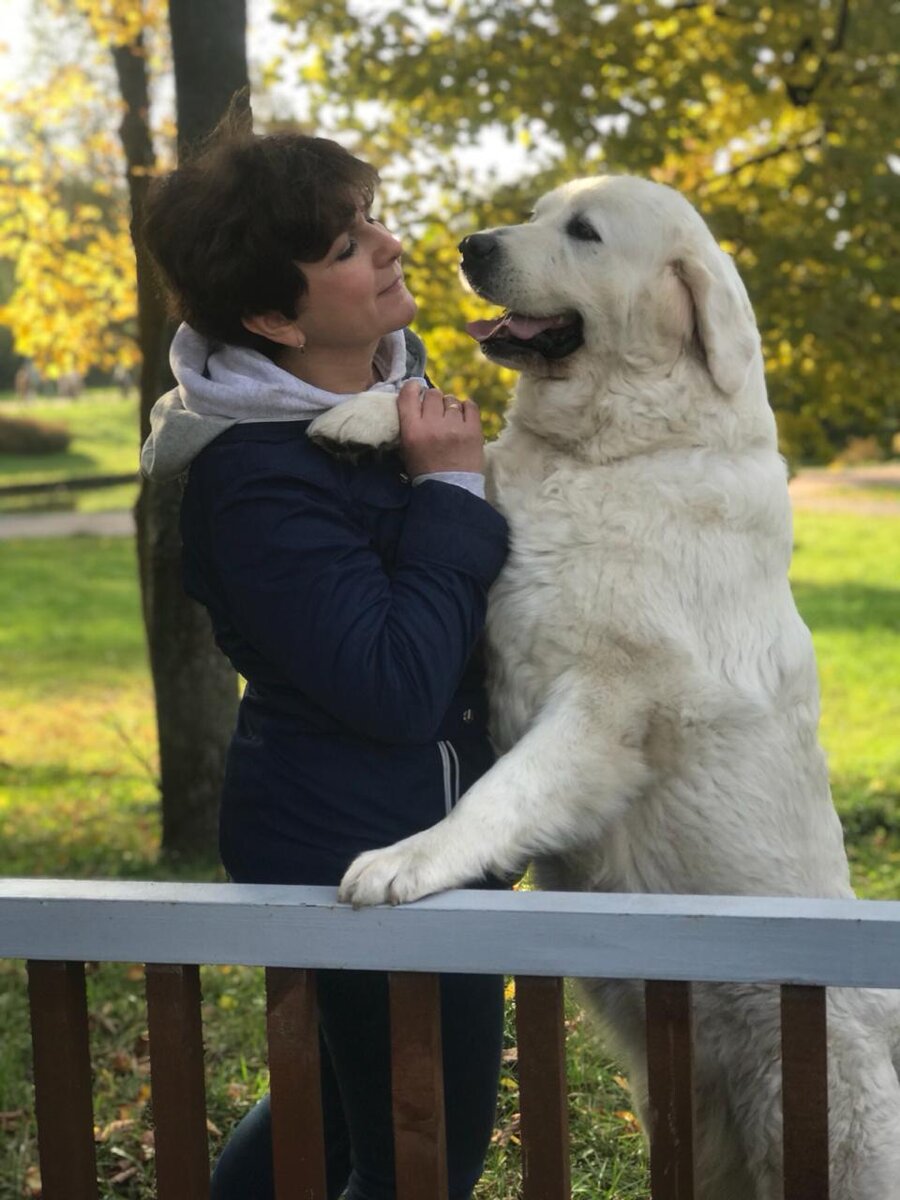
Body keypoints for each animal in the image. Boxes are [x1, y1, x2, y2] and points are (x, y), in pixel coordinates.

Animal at [309, 177, 900, 1200]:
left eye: (583, 234)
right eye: (539, 213)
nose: (471, 245)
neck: (616, 453)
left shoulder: (607, 705)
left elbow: (502, 793)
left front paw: (412, 857)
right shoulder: (510, 510)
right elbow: (469, 442)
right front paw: (366, 416)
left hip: (827, 1118)